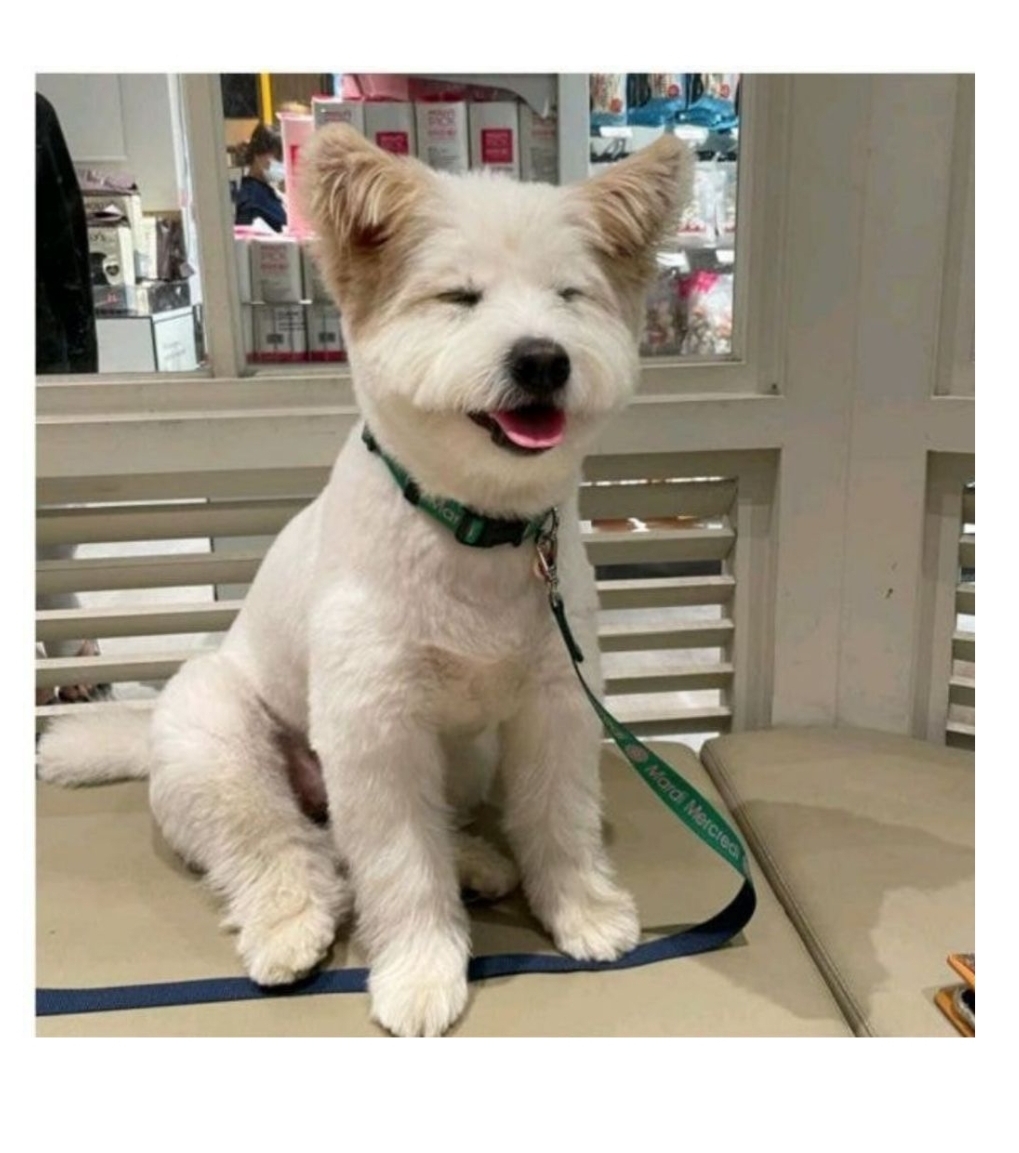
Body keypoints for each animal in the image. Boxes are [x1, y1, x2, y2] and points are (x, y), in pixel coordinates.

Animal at [37, 125, 692, 1037]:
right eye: (458, 298)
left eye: (569, 296)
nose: (541, 360)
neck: (473, 528)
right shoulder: (375, 730)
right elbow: (398, 866)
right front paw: (419, 970)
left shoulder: (555, 705)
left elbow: (557, 816)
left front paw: (582, 912)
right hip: (222, 745)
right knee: (289, 847)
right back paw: (292, 924)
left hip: (458, 756)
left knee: (383, 834)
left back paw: (476, 861)